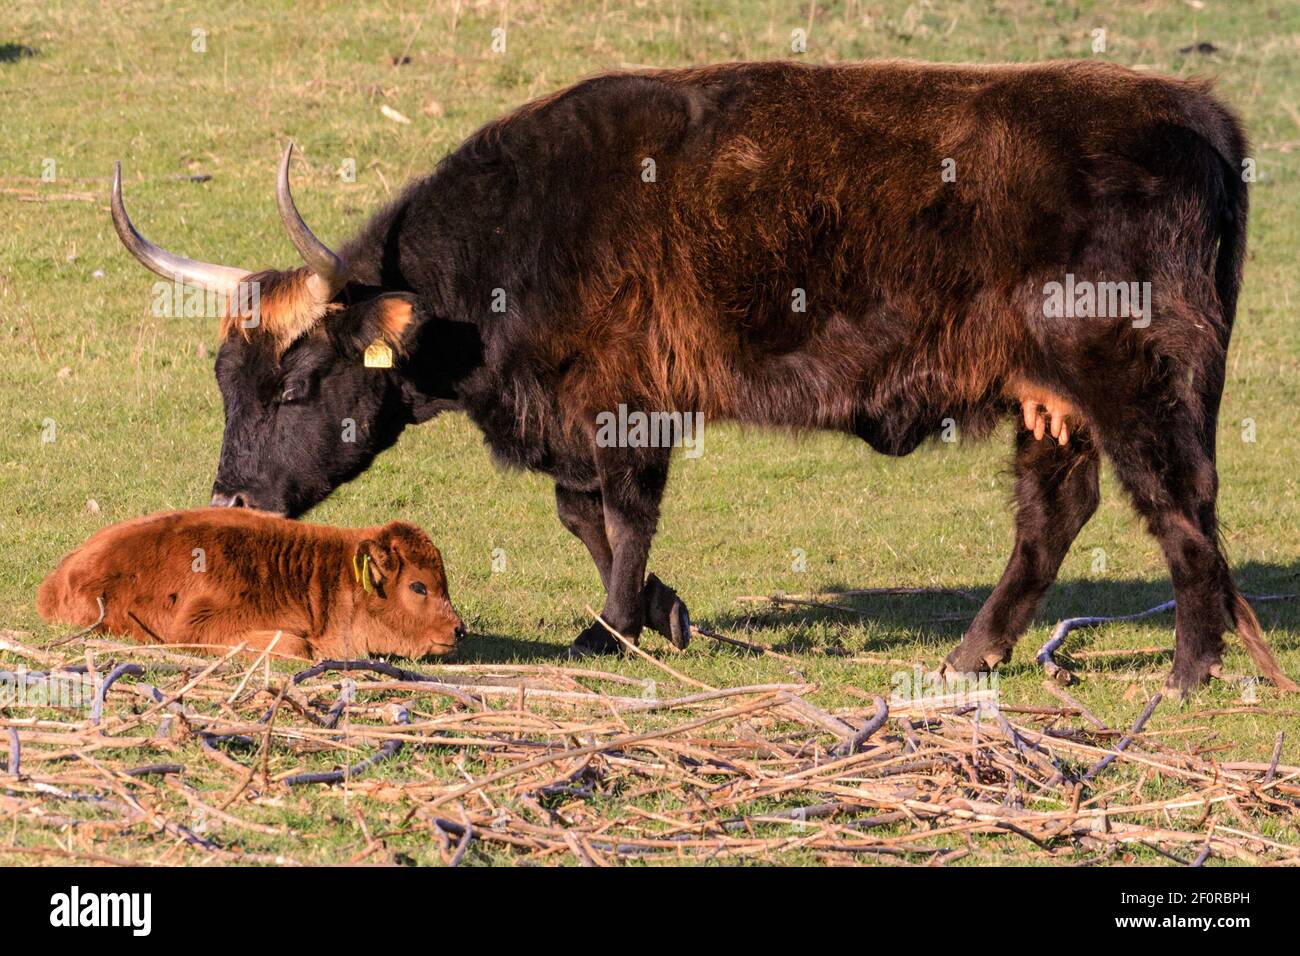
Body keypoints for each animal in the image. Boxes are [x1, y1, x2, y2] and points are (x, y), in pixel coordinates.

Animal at [109, 59, 1289, 697]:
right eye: (225, 381)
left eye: (300, 383)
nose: (234, 499)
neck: (520, 244)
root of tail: (1198, 115)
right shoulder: (579, 416)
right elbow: (581, 514)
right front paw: (663, 613)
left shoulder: (628, 405)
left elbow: (621, 518)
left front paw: (612, 628)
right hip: (1051, 404)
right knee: (1056, 516)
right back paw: (972, 652)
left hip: (1137, 384)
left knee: (1178, 505)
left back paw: (1192, 664)